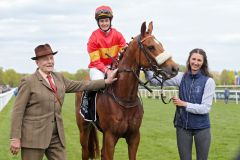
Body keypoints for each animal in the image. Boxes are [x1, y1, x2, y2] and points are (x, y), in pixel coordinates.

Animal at [76, 21, 179, 160]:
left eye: (161, 44)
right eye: (151, 47)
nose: (175, 68)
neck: (125, 98)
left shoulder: (134, 136)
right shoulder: (110, 136)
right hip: (84, 128)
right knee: (85, 151)